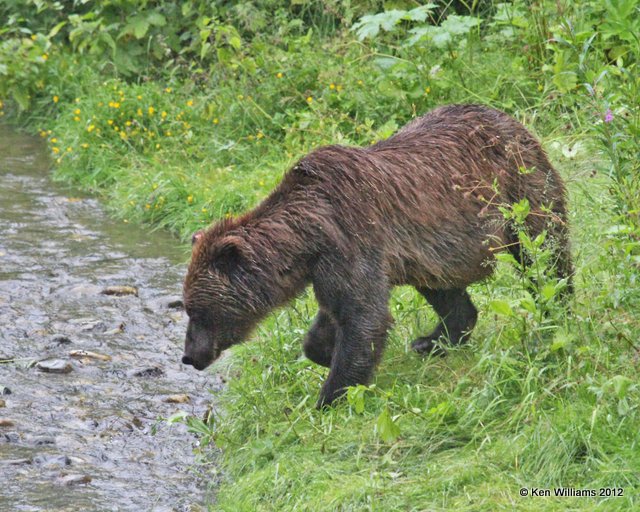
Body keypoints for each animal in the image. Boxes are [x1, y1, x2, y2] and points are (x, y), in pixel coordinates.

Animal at [182, 104, 572, 408]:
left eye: (198, 310)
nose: (189, 356)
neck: (309, 235)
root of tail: (509, 118)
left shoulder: (352, 237)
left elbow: (363, 316)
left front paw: (329, 397)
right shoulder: (331, 264)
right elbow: (338, 314)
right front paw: (323, 350)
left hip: (520, 193)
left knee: (546, 255)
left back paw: (555, 312)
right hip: (431, 253)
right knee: (445, 291)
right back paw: (430, 340)